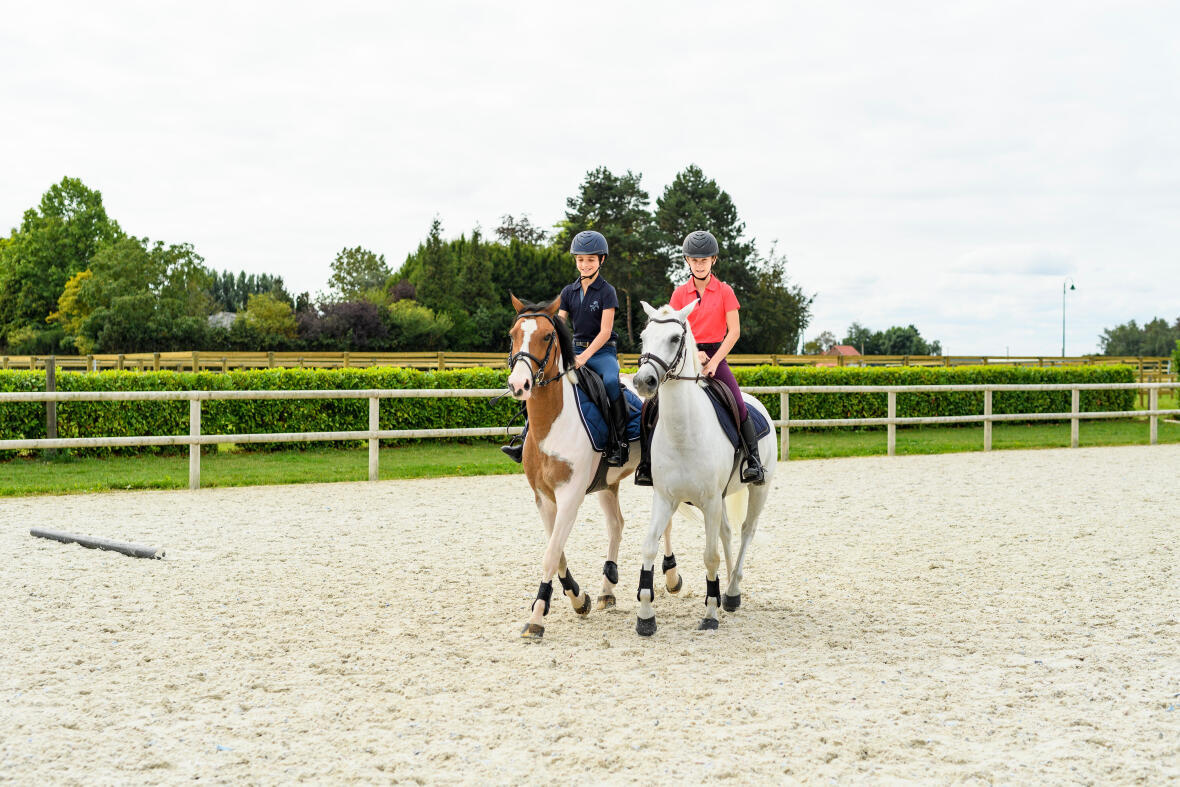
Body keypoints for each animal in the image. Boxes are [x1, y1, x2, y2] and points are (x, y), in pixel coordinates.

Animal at [505, 294, 684, 641]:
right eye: (513, 334)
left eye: (546, 336)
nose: (519, 383)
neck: (553, 423)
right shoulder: (543, 498)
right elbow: (558, 552)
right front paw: (579, 598)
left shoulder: (570, 497)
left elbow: (551, 554)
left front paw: (537, 616)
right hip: (607, 484)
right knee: (617, 525)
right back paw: (607, 589)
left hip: (658, 477)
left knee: (665, 525)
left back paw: (671, 577)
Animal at [632, 298, 778, 637]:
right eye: (643, 337)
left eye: (675, 338)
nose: (643, 381)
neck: (683, 432)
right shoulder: (665, 498)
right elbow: (649, 547)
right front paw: (645, 616)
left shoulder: (710, 500)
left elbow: (710, 556)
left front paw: (710, 613)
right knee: (726, 532)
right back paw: (728, 592)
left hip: (759, 490)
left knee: (745, 531)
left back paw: (733, 592)